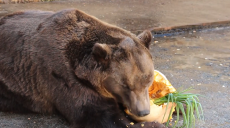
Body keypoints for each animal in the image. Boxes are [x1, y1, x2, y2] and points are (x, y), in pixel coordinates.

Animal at [0, 9, 165, 128]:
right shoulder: (62, 76)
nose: (143, 111)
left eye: (148, 81)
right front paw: (152, 124)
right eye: (125, 85)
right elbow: (97, 114)